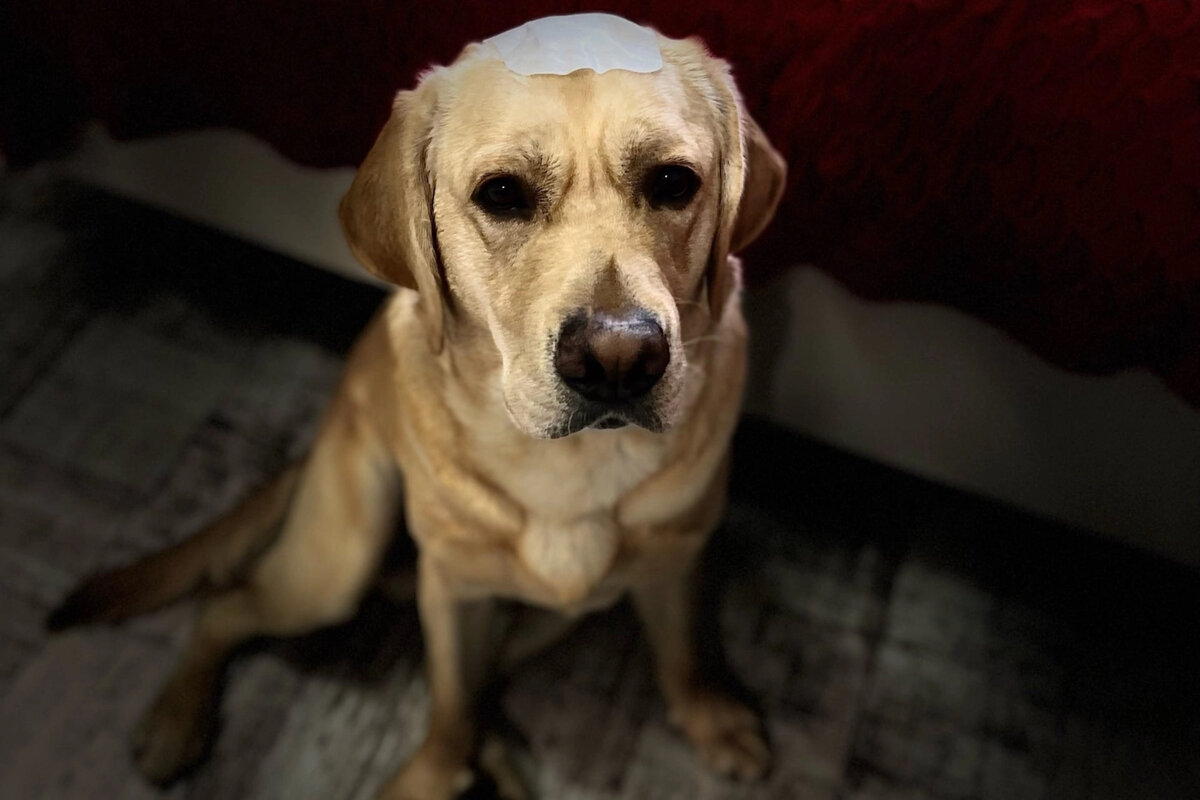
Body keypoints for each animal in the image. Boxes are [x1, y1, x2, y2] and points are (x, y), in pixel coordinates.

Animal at [48, 15, 786, 799]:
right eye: (502, 194)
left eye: (674, 182)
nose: (618, 361)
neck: (568, 469)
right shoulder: (453, 592)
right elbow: (451, 704)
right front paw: (430, 773)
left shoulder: (676, 558)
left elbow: (681, 651)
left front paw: (708, 715)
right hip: (336, 563)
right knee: (225, 604)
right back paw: (175, 720)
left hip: (540, 613)